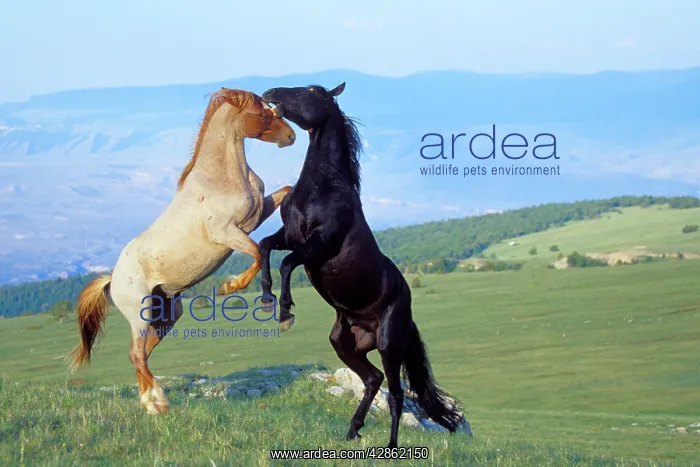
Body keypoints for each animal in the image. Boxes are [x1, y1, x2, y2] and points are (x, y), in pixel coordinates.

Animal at [67, 88, 296, 415]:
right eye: (261, 113)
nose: (290, 136)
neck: (222, 178)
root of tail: (113, 278)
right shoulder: (226, 232)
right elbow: (254, 252)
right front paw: (230, 286)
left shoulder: (256, 215)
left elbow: (285, 193)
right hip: (139, 316)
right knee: (136, 354)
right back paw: (159, 403)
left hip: (166, 314)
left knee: (141, 354)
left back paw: (149, 403)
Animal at [258, 82, 463, 447]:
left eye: (311, 91)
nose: (270, 92)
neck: (322, 187)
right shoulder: (290, 235)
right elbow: (266, 246)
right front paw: (267, 298)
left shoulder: (319, 244)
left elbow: (287, 264)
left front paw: (285, 313)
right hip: (344, 344)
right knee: (372, 379)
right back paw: (353, 430)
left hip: (388, 344)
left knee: (395, 394)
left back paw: (390, 447)